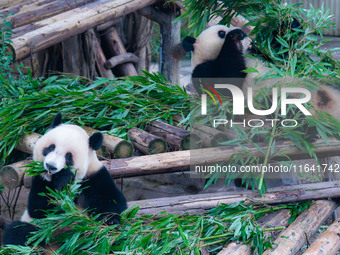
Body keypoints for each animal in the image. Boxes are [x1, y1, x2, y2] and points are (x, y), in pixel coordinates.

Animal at [2, 112, 127, 246]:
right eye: (51, 148)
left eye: (68, 156)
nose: (51, 166)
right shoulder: (40, 179)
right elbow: (39, 208)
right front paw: (62, 182)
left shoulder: (95, 176)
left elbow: (113, 200)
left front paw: (109, 221)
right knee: (20, 231)